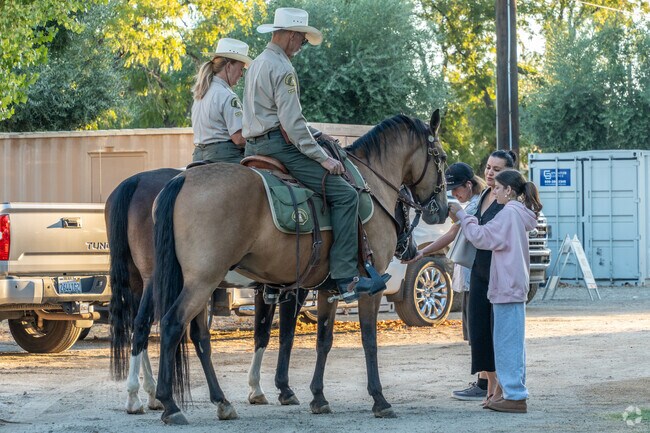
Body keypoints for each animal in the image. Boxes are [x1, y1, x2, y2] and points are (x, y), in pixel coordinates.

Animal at [106, 168, 312, 414]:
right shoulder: (294, 288)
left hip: (139, 282)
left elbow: (261, 334)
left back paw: (147, 394)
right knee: (142, 326)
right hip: (160, 281)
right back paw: (139, 396)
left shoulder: (264, 290)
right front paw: (283, 389)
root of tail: (136, 180)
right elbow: (285, 335)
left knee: (138, 328)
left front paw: (256, 388)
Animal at [152, 109, 448, 424]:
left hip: (199, 283)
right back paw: (169, 403)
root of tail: (183, 179)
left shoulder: (329, 288)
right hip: (203, 281)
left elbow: (323, 340)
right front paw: (379, 399)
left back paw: (221, 401)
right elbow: (368, 340)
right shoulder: (370, 288)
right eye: (441, 157)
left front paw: (318, 397)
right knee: (171, 325)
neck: (371, 184)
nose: (440, 211)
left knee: (198, 337)